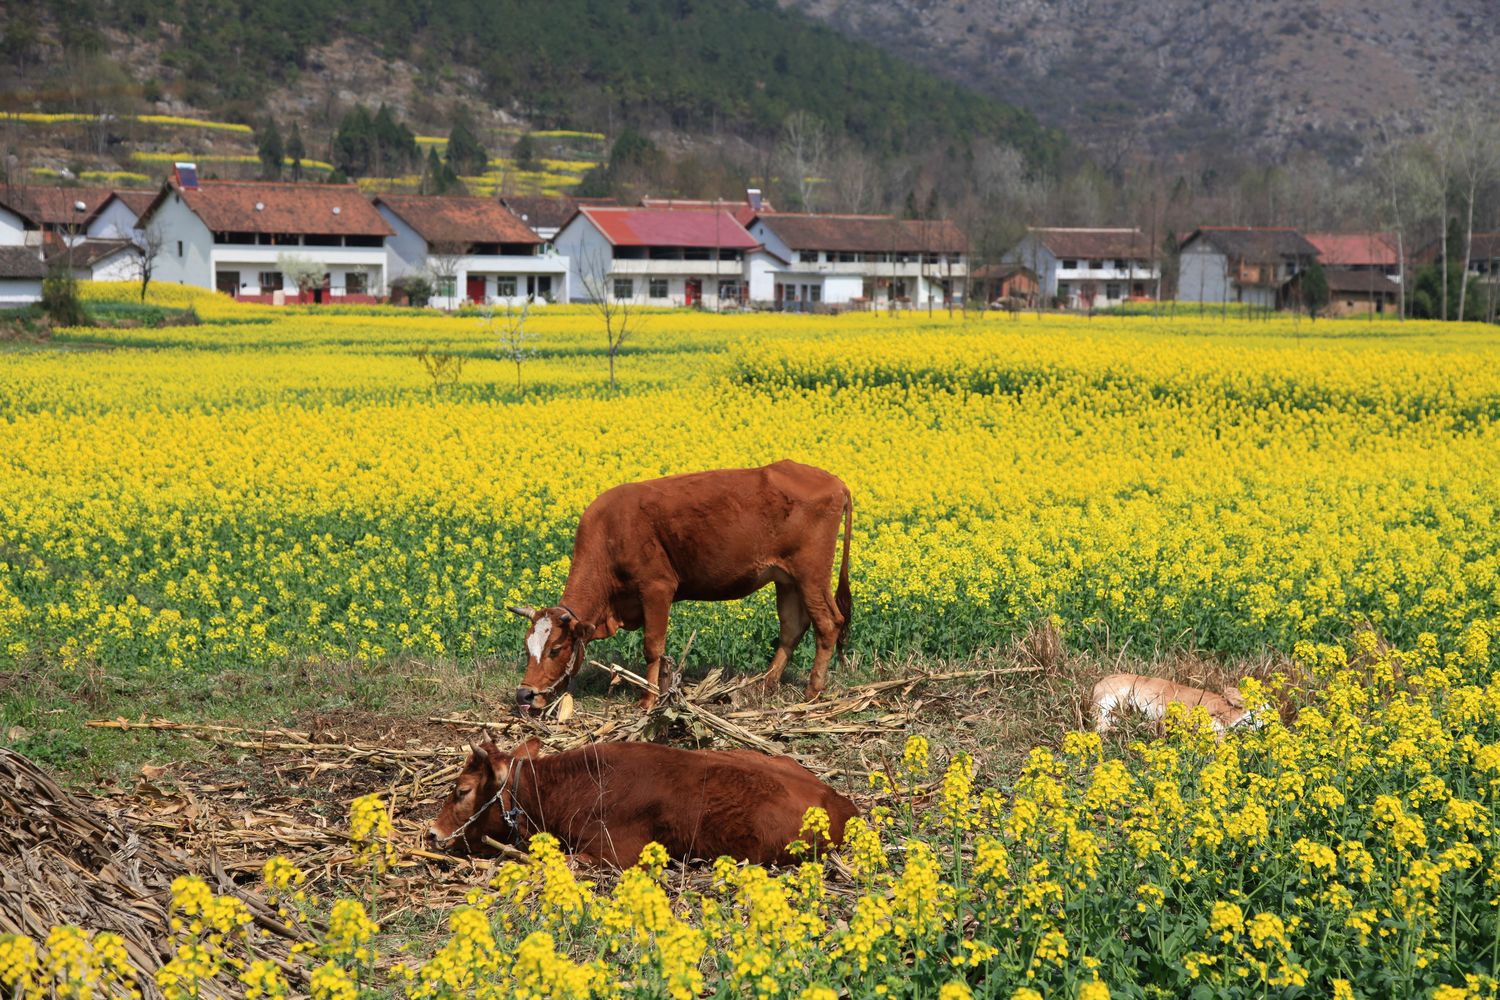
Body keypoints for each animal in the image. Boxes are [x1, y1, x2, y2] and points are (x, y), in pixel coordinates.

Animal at [507, 461, 852, 710]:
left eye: (555, 649)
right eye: (526, 646)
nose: (525, 695)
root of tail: (835, 480)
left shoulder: (657, 589)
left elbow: (653, 647)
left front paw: (648, 699)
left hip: (811, 575)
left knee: (828, 623)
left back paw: (811, 693)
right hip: (787, 579)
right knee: (792, 628)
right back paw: (765, 684)